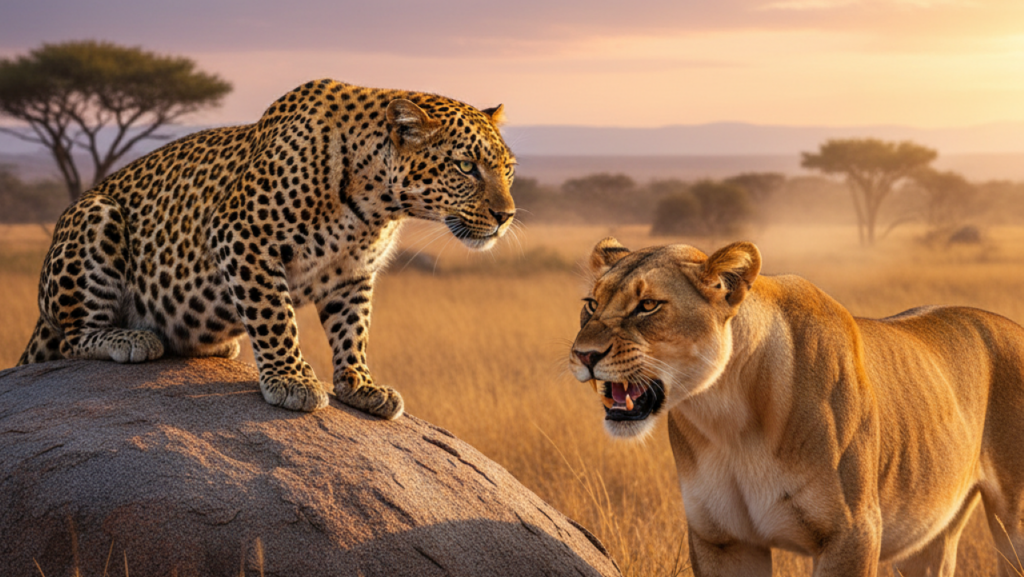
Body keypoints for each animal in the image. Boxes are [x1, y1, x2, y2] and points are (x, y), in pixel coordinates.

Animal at [18, 79, 517, 420]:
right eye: (466, 167)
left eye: (508, 169)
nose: (506, 215)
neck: (378, 206)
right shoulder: (242, 236)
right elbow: (275, 316)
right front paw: (292, 379)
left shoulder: (353, 272)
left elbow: (354, 330)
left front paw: (360, 385)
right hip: (95, 217)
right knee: (73, 338)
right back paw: (131, 338)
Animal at [569, 237, 1024, 577]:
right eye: (590, 304)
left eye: (647, 306)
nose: (583, 355)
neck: (726, 415)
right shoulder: (724, 539)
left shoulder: (851, 534)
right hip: (932, 531)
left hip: (1014, 527)